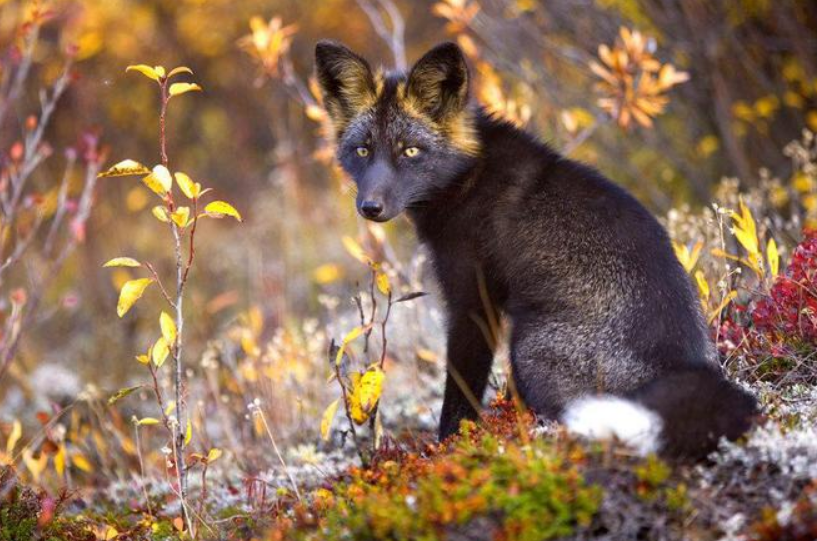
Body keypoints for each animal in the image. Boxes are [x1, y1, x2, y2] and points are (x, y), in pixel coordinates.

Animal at [314, 40, 760, 458]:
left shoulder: (473, 302)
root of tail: (682, 367)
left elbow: (459, 396)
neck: (468, 176)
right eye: (362, 150)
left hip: (526, 348)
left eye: (409, 150)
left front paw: (449, 448)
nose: (370, 207)